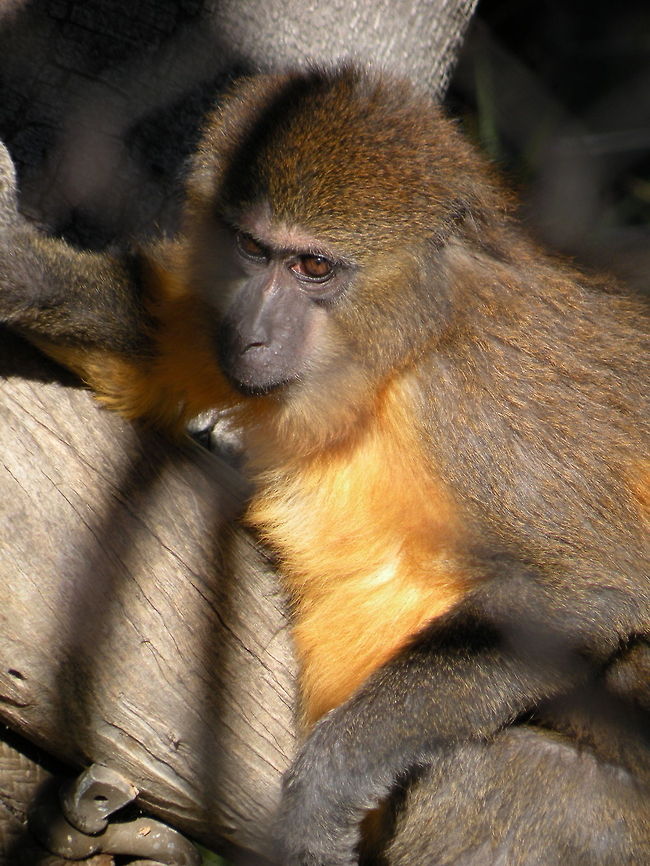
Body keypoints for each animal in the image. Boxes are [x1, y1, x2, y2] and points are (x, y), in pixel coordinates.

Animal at [0, 65, 648, 865]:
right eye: (253, 250)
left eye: (313, 266)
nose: (253, 331)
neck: (399, 351)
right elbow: (163, 342)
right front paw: (27, 273)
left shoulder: (477, 394)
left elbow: (591, 592)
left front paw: (329, 781)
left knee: (513, 775)